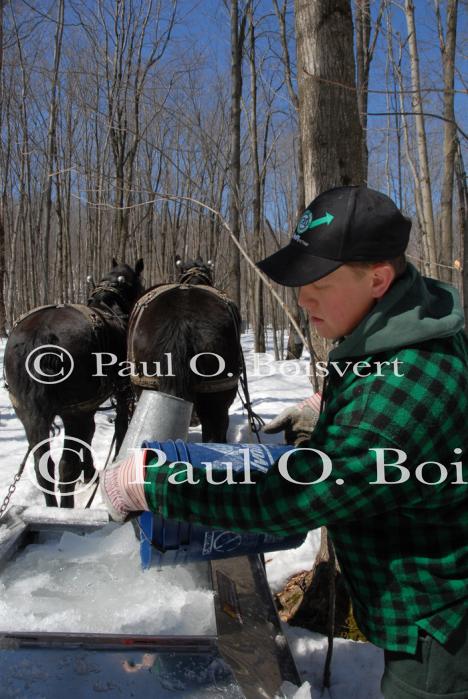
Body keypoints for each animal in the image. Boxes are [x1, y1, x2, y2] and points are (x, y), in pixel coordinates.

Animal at [4, 260, 144, 506]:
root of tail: (41, 337)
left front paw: (88, 470)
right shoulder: (118, 394)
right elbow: (119, 426)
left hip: (30, 414)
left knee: (44, 468)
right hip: (74, 412)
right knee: (65, 466)